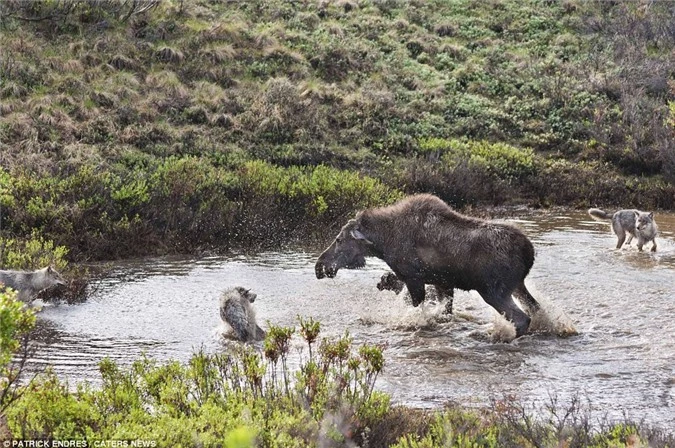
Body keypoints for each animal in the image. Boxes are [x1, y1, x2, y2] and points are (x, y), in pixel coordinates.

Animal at [314, 194, 540, 338]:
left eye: (339, 240)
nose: (320, 266)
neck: (383, 243)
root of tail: (529, 252)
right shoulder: (443, 282)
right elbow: (445, 311)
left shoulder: (413, 278)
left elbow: (417, 310)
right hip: (518, 285)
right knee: (535, 308)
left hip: (493, 290)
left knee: (522, 318)